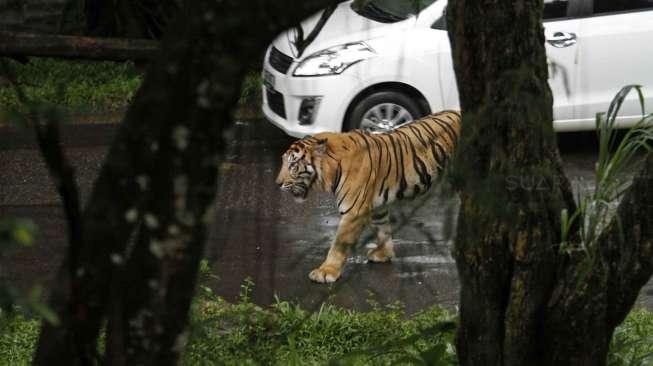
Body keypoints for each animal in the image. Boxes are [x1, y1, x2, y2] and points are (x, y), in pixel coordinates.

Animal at [276, 110, 458, 284]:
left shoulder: (353, 212)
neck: (332, 170)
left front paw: (326, 272)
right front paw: (385, 254)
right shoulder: (378, 206)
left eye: (293, 165)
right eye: (284, 162)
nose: (277, 183)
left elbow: (338, 244)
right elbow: (383, 230)